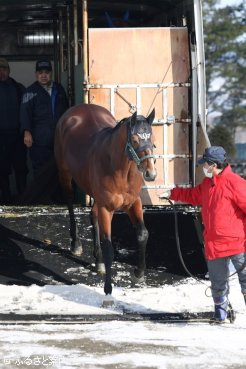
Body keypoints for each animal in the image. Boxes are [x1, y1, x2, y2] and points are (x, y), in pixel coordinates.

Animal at [54, 103, 157, 300]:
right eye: (134, 140)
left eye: (152, 139)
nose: (151, 173)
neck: (120, 169)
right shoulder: (106, 209)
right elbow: (109, 245)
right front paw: (108, 289)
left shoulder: (134, 203)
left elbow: (143, 234)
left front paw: (138, 273)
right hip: (64, 173)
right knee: (70, 203)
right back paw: (76, 244)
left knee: (92, 215)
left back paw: (99, 261)